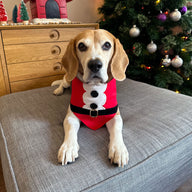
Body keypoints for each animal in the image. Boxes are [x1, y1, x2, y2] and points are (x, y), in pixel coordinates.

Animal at [51, 29, 129, 167]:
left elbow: (116, 128)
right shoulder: (71, 116)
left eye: (107, 45)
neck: (94, 87)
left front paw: (118, 149)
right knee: (62, 83)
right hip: (67, 79)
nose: (95, 64)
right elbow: (70, 130)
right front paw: (68, 147)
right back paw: (58, 90)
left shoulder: (115, 115)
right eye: (81, 46)